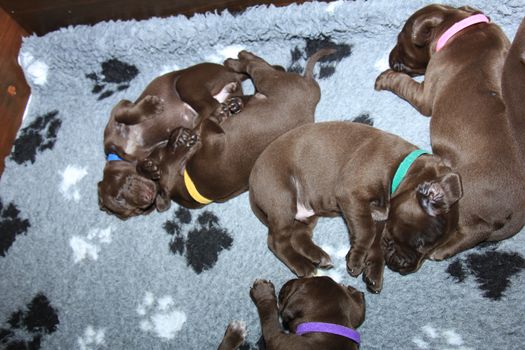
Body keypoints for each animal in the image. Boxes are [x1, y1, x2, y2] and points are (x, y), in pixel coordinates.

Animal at [98, 63, 246, 219]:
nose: (147, 198)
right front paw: (150, 169)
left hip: (185, 82)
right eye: (137, 211)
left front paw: (152, 106)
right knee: (214, 106)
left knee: (210, 106)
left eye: (119, 198)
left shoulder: (118, 111)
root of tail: (231, 73)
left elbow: (125, 114)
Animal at [134, 49, 332, 213]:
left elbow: (202, 121)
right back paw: (236, 66)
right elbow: (206, 121)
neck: (190, 181)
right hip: (270, 82)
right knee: (257, 66)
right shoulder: (212, 135)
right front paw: (220, 114)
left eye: (162, 150)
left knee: (260, 68)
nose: (178, 133)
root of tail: (312, 91)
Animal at [248, 121, 460, 292]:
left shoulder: (381, 217)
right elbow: (366, 232)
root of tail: (252, 183)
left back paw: (318, 256)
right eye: (420, 242)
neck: (401, 169)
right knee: (276, 241)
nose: (408, 268)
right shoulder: (352, 195)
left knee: (299, 236)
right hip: (283, 198)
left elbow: (376, 241)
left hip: (307, 212)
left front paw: (373, 271)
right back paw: (303, 265)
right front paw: (356, 260)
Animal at [372, 2, 524, 260]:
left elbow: (404, 84)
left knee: (469, 230)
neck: (460, 25)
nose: (390, 58)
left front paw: (385, 78)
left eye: (400, 38)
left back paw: (440, 251)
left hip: (460, 198)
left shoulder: (425, 93)